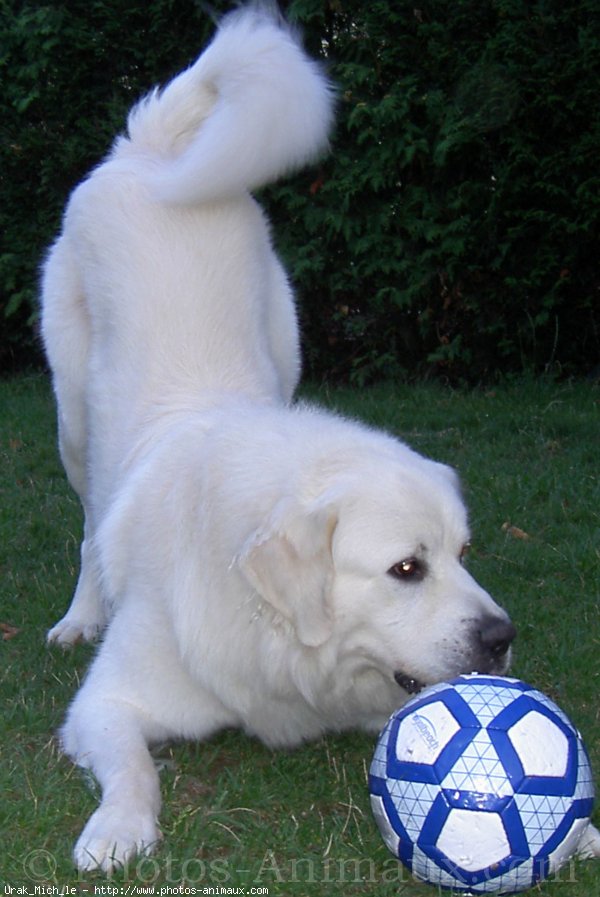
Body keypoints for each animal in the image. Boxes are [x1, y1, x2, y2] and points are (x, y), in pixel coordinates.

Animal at [42, 3, 600, 872]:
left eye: (464, 554)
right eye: (406, 568)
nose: (502, 637)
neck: (273, 636)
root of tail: (151, 150)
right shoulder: (109, 700)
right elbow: (135, 765)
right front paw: (118, 828)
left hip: (287, 337)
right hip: (71, 417)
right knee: (89, 523)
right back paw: (79, 613)